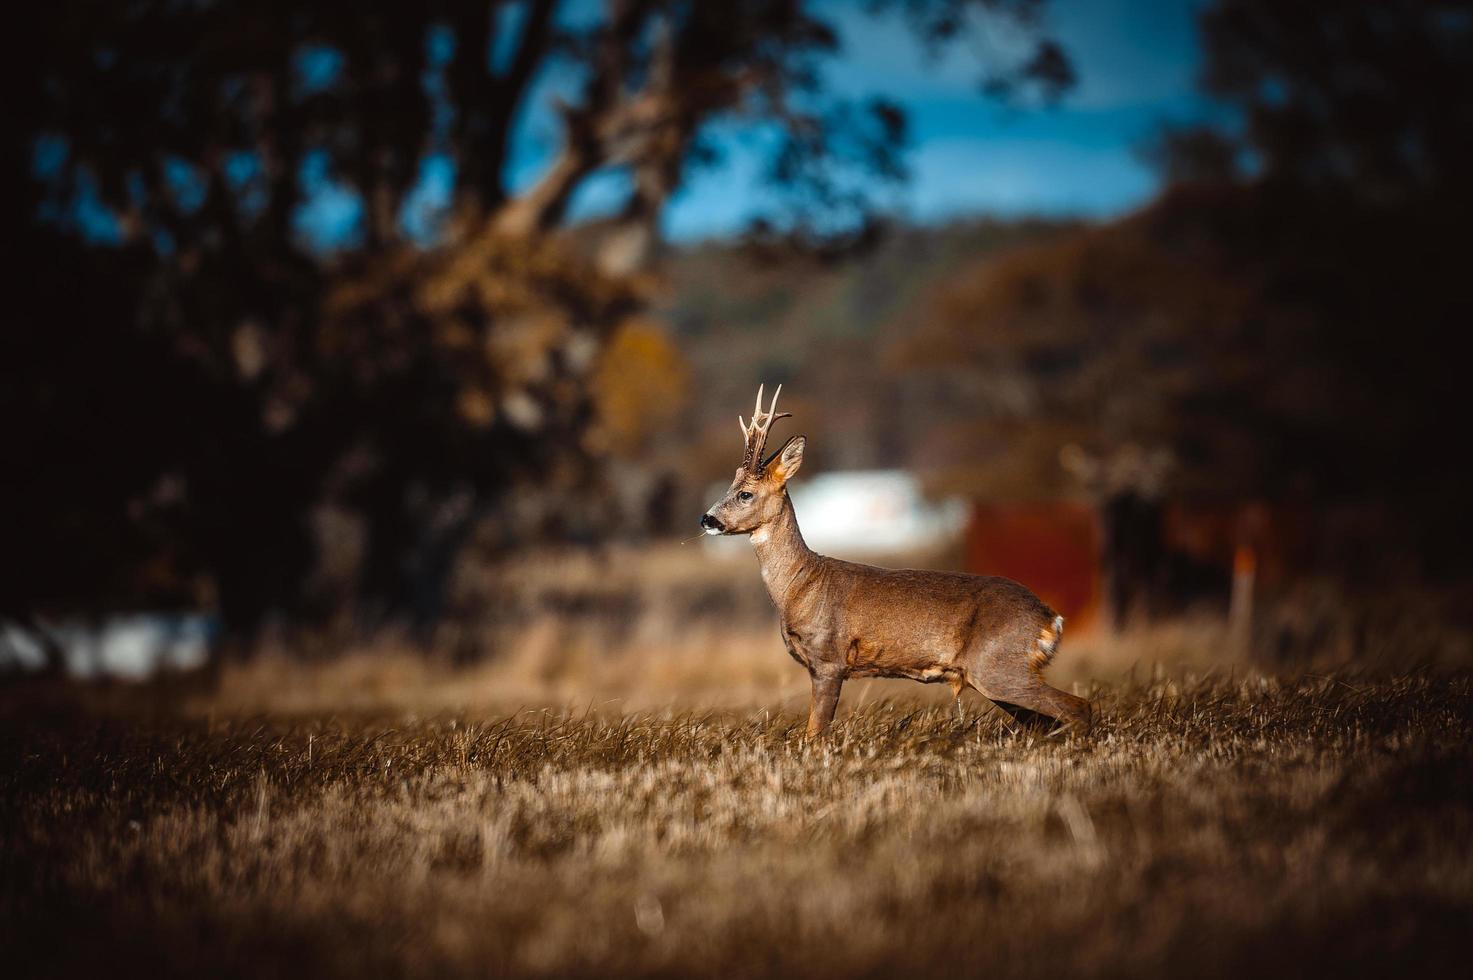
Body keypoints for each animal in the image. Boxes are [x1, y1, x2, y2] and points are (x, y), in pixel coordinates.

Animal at [701, 383, 1095, 733]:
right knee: (1044, 722)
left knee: (1079, 707)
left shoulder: (829, 659)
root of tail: (1050, 619)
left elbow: (815, 733)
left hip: (999, 665)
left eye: (745, 494)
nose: (707, 519)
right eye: (729, 487)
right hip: (999, 675)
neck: (802, 585)